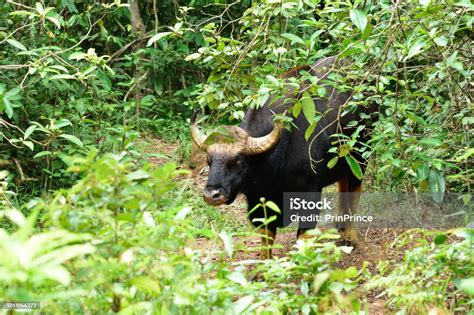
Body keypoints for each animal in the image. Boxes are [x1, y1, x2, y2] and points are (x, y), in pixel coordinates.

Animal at [190, 56, 378, 254]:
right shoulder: (259, 202)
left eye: (238, 161)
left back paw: (350, 236)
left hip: (361, 157)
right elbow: (267, 238)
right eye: (209, 161)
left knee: (354, 188)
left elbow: (303, 236)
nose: (211, 195)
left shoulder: (311, 192)